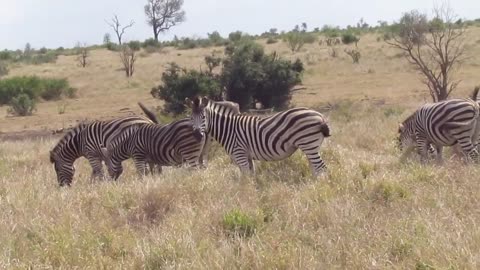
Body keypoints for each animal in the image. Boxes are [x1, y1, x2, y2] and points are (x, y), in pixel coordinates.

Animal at [186, 96, 332, 176]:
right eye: (191, 117)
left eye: (203, 117)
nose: (197, 135)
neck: (228, 129)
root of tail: (320, 116)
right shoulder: (247, 156)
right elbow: (251, 177)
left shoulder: (239, 154)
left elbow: (245, 178)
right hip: (310, 147)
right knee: (316, 169)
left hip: (309, 144)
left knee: (322, 168)